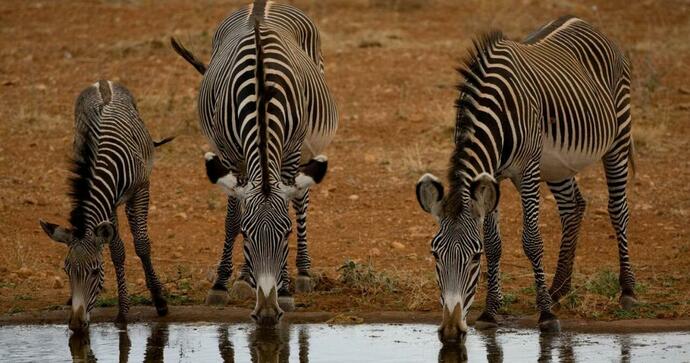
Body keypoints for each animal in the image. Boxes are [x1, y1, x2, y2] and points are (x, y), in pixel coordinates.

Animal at [39, 81, 172, 334]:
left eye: (94, 271)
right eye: (66, 270)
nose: (76, 324)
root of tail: (102, 82)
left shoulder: (141, 189)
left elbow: (142, 245)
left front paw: (160, 301)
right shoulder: (108, 205)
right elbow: (117, 251)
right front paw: (123, 311)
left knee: (137, 228)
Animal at [169, 0, 336, 324]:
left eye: (286, 233)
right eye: (247, 234)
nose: (268, 313)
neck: (260, 94)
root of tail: (264, 3)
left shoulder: (291, 150)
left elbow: (293, 204)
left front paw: (286, 289)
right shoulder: (230, 155)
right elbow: (233, 217)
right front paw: (223, 283)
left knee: (301, 200)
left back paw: (303, 271)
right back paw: (245, 278)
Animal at [414, 14, 636, 344]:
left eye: (475, 257)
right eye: (434, 253)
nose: (452, 333)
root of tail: (582, 20)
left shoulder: (527, 170)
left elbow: (531, 241)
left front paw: (546, 315)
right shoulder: (492, 175)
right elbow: (495, 242)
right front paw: (491, 312)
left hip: (618, 137)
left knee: (618, 209)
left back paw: (627, 290)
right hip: (556, 164)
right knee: (573, 207)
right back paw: (558, 289)